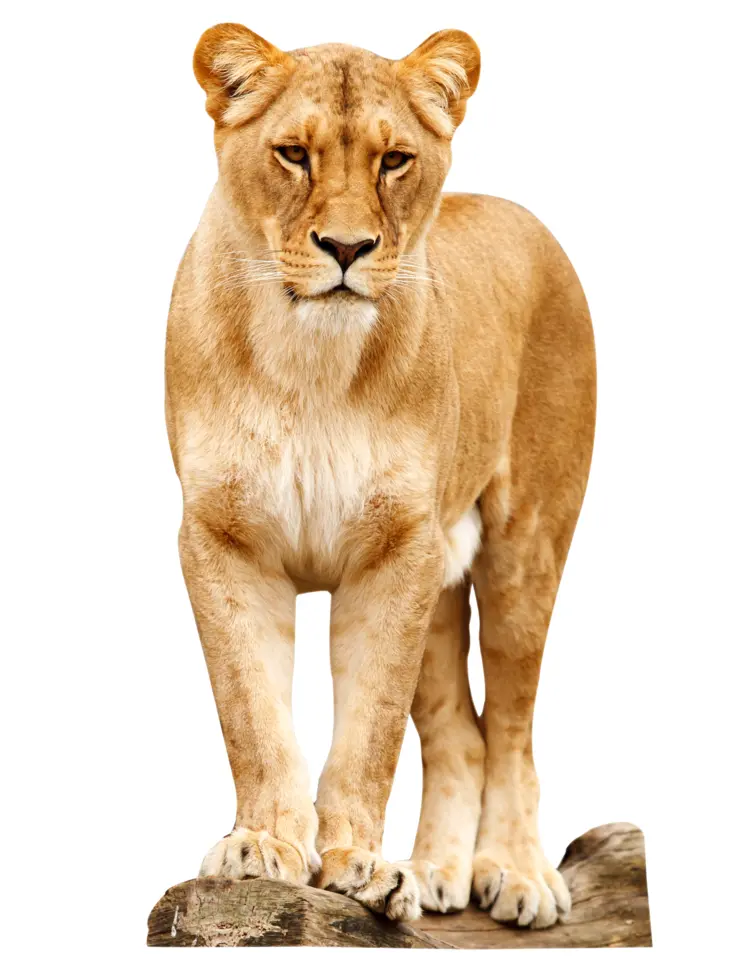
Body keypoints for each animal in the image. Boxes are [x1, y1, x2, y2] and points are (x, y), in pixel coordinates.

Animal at [165, 23, 596, 929]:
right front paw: (263, 846)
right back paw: (433, 873)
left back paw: (516, 873)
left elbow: (370, 732)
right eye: (293, 154)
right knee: (461, 734)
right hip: (440, 582)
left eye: (395, 160)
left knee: (512, 726)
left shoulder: (396, 550)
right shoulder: (223, 540)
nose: (347, 249)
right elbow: (252, 713)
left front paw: (356, 864)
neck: (308, 362)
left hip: (524, 551)